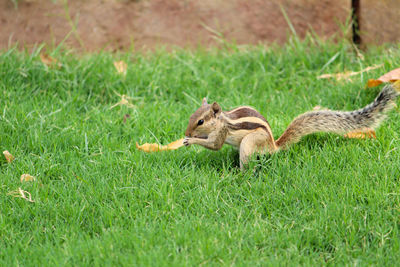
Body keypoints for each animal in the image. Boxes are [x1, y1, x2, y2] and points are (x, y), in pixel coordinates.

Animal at [184, 84, 400, 170]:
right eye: (191, 117)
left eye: (200, 121)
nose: (186, 132)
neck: (222, 120)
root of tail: (273, 146)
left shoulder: (222, 132)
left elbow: (215, 146)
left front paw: (191, 140)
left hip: (249, 143)